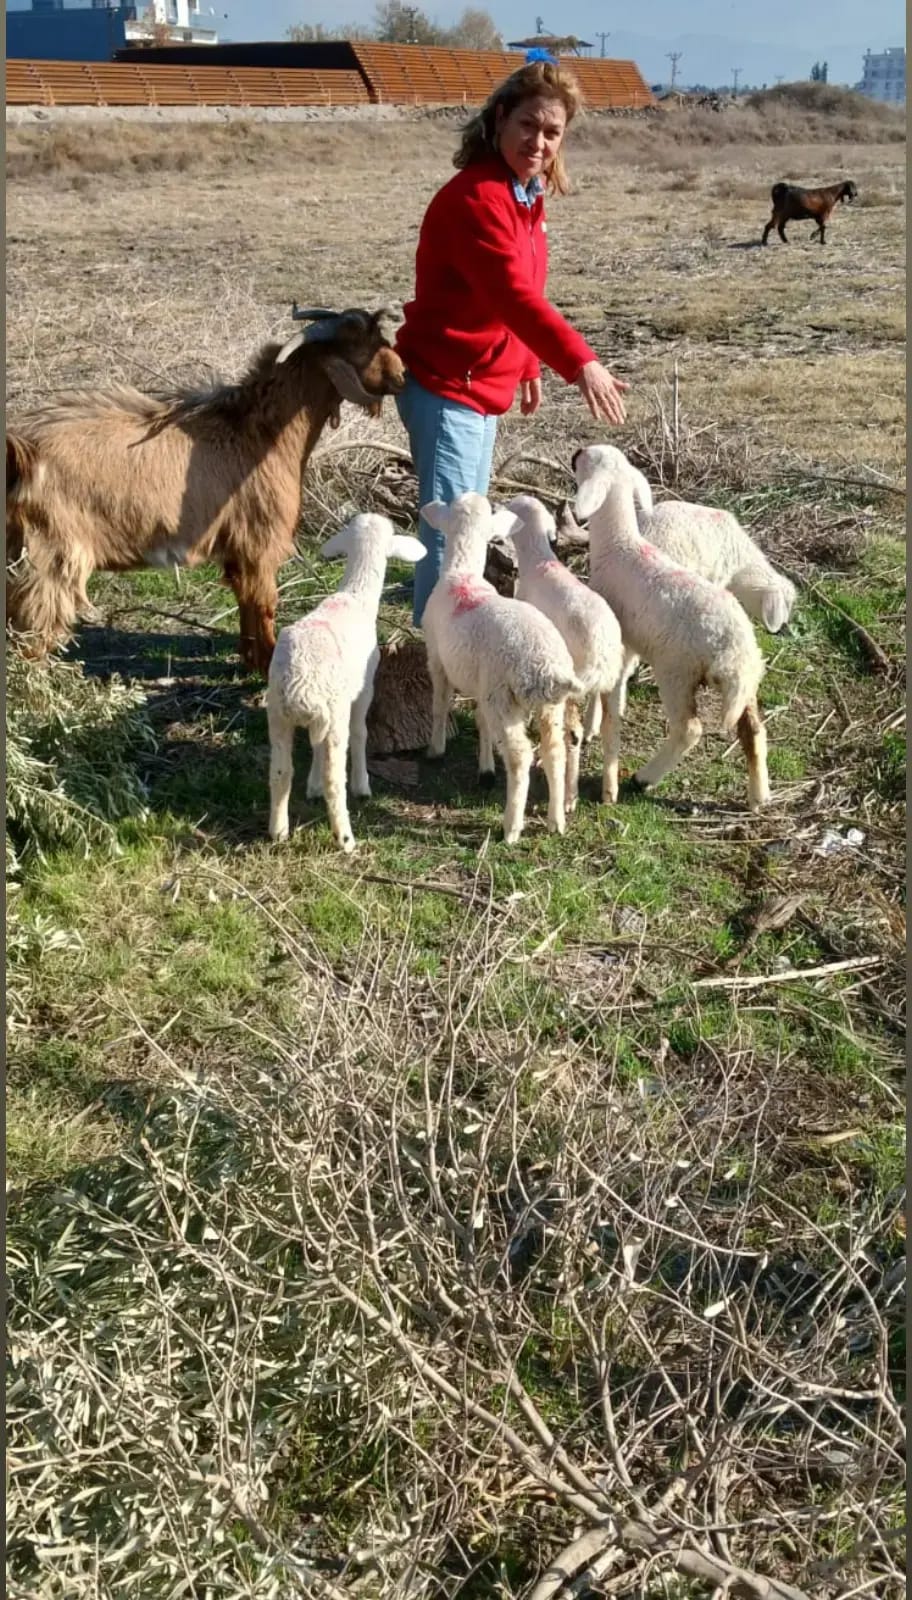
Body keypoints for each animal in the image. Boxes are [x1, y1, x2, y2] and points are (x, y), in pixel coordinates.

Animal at [6, 307, 404, 675]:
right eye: (357, 343)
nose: (401, 376)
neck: (258, 431)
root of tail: (22, 449)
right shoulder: (260, 540)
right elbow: (265, 603)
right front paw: (268, 667)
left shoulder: (237, 550)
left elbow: (245, 601)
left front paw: (251, 661)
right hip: (51, 555)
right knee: (31, 628)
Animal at [264, 518, 425, 857]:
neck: (356, 595)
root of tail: (299, 687)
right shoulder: (364, 689)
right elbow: (361, 732)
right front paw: (363, 785)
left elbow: (314, 749)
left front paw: (310, 786)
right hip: (333, 714)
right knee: (334, 778)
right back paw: (346, 838)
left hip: (278, 713)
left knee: (281, 772)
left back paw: (278, 830)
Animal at [419, 492, 582, 844]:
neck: (461, 573)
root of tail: (548, 668)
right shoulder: (480, 683)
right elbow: (481, 722)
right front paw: (485, 769)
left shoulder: (437, 658)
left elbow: (440, 704)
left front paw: (435, 750)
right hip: (549, 704)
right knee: (554, 750)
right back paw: (556, 819)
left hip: (505, 696)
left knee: (521, 755)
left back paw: (512, 827)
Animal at [505, 486, 624, 806]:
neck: (538, 560)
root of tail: (601, 651)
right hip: (612, 683)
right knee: (611, 729)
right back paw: (610, 792)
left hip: (573, 682)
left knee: (574, 733)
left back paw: (570, 796)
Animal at [572, 444, 771, 806]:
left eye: (587, 458)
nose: (576, 451)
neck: (619, 544)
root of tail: (733, 648)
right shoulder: (629, 641)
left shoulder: (617, 634)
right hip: (747, 679)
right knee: (752, 729)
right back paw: (759, 794)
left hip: (677, 670)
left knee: (689, 729)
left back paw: (643, 778)